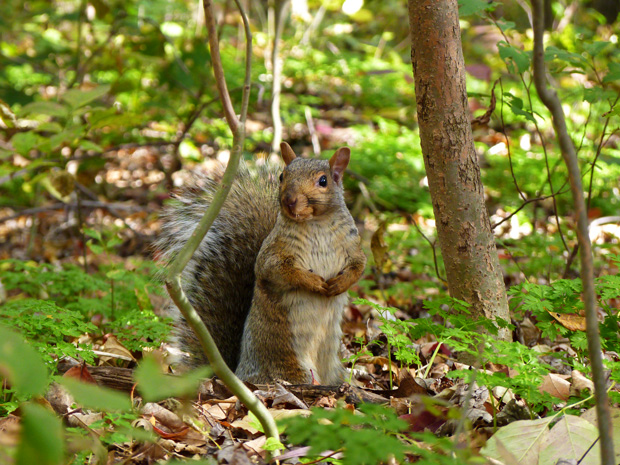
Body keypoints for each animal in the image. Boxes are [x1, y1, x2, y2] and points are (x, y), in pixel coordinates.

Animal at [157, 141, 366, 384]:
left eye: (323, 181)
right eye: (282, 176)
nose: (289, 200)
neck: (317, 223)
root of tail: (238, 372)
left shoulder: (352, 246)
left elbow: (358, 266)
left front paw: (339, 284)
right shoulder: (273, 253)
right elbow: (277, 271)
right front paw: (313, 282)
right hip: (290, 366)